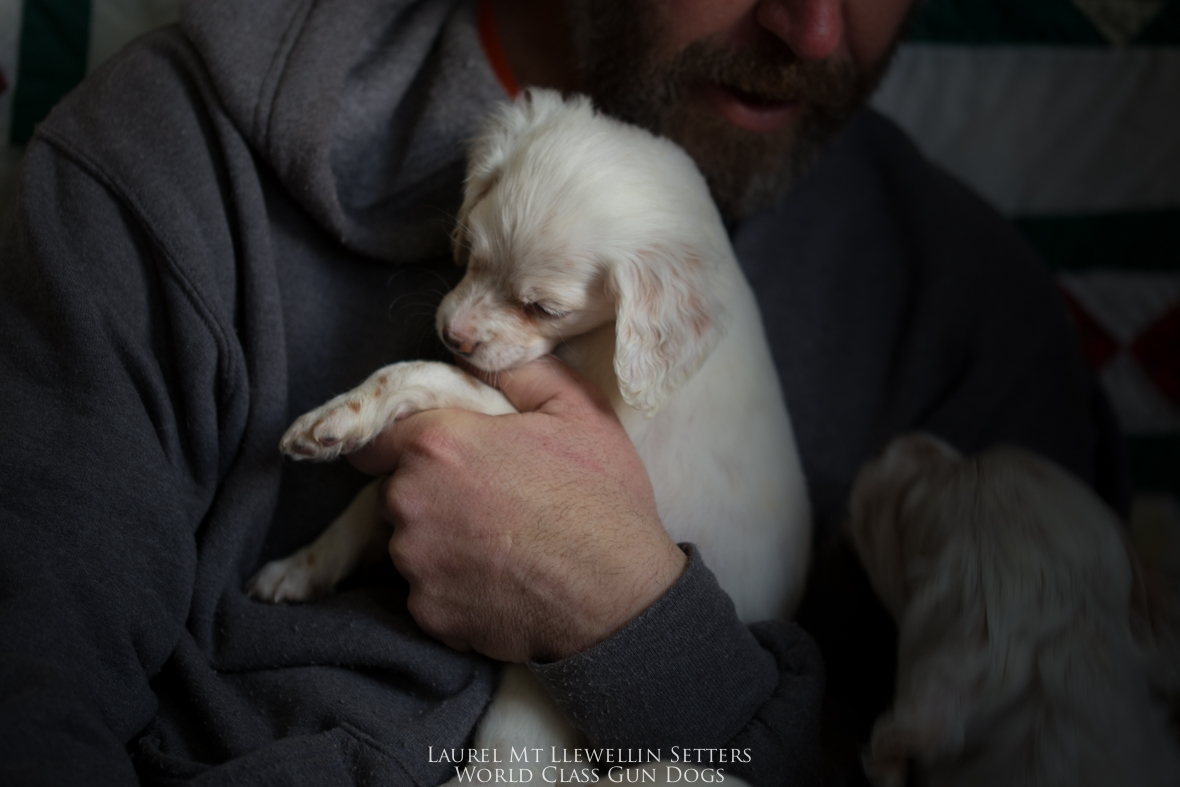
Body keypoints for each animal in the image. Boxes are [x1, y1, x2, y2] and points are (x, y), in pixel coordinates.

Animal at [244, 89, 807, 783]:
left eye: (546, 309)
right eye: (471, 250)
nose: (454, 334)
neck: (599, 343)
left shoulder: (527, 414)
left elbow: (417, 375)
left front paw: (337, 418)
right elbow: (365, 501)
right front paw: (303, 567)